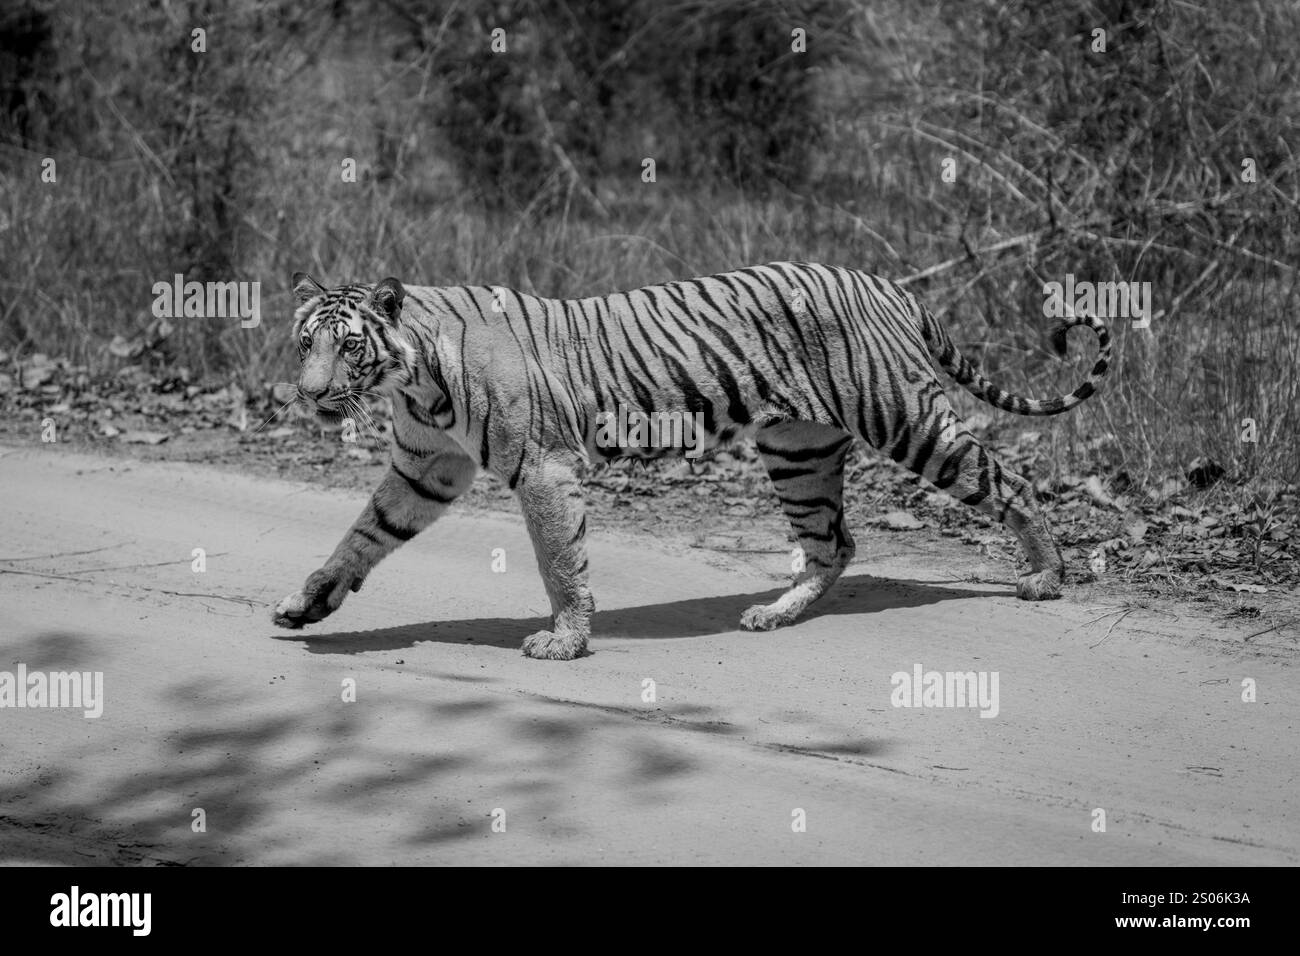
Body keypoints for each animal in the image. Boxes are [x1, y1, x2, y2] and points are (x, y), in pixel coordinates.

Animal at [271, 261, 1107, 658]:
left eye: (348, 346)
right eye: (304, 342)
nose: (309, 395)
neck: (413, 378)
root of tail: (888, 285)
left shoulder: (542, 466)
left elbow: (559, 562)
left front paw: (564, 641)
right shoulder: (426, 468)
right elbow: (364, 535)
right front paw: (309, 602)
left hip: (905, 419)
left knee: (1009, 480)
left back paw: (1045, 575)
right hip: (797, 449)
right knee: (833, 540)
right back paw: (774, 613)